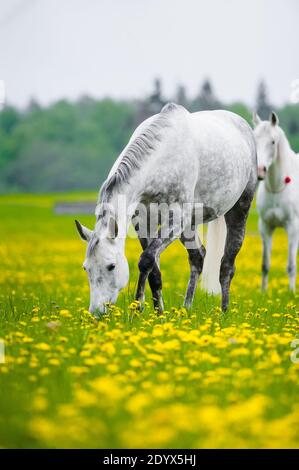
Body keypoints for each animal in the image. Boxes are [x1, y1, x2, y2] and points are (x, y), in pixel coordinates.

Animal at [75, 103, 258, 316]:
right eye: (86, 268)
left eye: (111, 266)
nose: (96, 312)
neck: (163, 158)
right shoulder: (143, 223)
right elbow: (154, 269)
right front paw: (158, 314)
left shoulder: (176, 219)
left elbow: (146, 260)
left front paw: (137, 309)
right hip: (190, 225)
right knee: (198, 257)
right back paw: (186, 309)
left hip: (240, 208)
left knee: (227, 265)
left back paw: (224, 312)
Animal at [253, 112, 299, 292]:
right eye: (255, 139)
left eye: (273, 141)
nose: (259, 170)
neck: (277, 187)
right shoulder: (266, 227)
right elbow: (265, 264)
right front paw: (263, 291)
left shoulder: (293, 228)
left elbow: (291, 266)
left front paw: (291, 292)